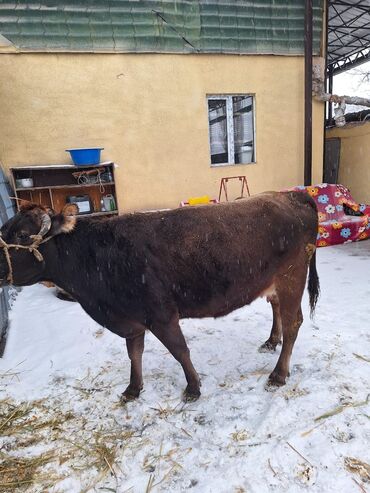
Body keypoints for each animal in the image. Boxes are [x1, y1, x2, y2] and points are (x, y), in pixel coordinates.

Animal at [0, 190, 318, 402]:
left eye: (24, 236)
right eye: (4, 229)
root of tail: (292, 194)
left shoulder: (161, 314)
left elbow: (179, 351)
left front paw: (193, 387)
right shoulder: (130, 317)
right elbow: (134, 353)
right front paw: (133, 388)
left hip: (292, 277)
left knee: (293, 323)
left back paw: (278, 374)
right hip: (274, 282)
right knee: (277, 309)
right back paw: (271, 341)